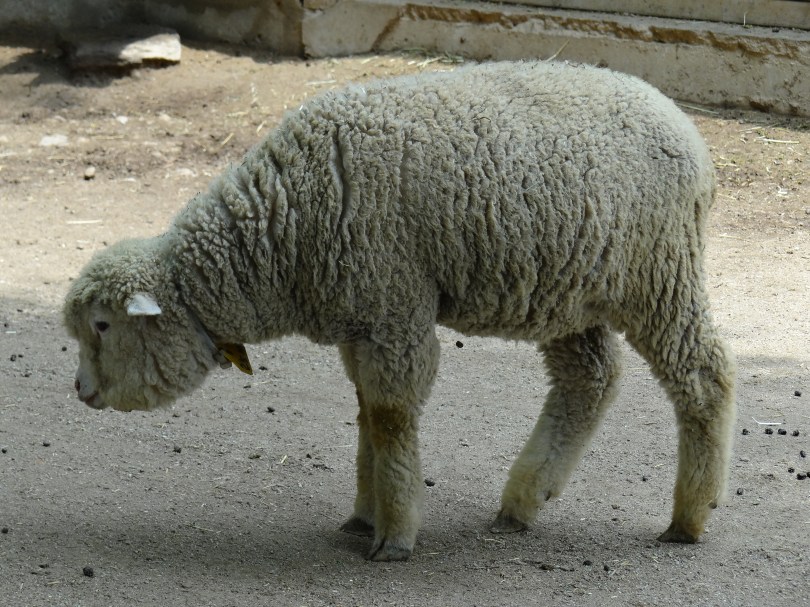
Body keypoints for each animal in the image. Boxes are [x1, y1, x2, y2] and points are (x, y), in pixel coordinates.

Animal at [64, 60, 736, 562]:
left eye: (103, 326)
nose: (80, 392)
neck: (280, 232)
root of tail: (687, 130)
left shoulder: (395, 311)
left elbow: (390, 416)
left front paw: (395, 535)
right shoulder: (362, 319)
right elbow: (366, 410)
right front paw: (365, 515)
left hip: (658, 274)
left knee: (704, 377)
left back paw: (689, 516)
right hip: (570, 292)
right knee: (589, 381)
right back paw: (524, 499)